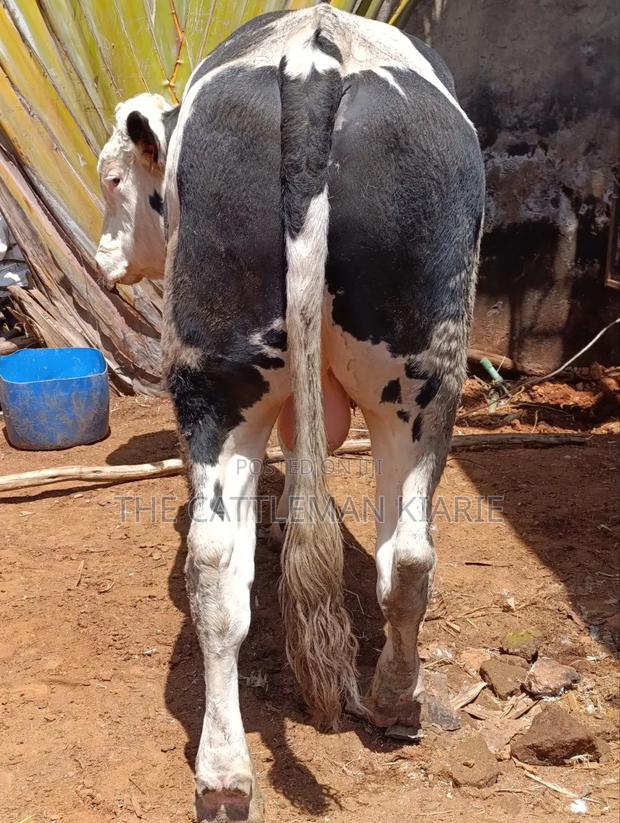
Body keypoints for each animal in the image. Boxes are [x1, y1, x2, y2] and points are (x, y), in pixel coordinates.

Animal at [96, 4, 484, 821]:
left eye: (114, 178)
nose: (104, 258)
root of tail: (314, 57)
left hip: (248, 379)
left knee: (232, 563)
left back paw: (231, 767)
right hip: (405, 381)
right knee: (389, 556)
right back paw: (385, 705)